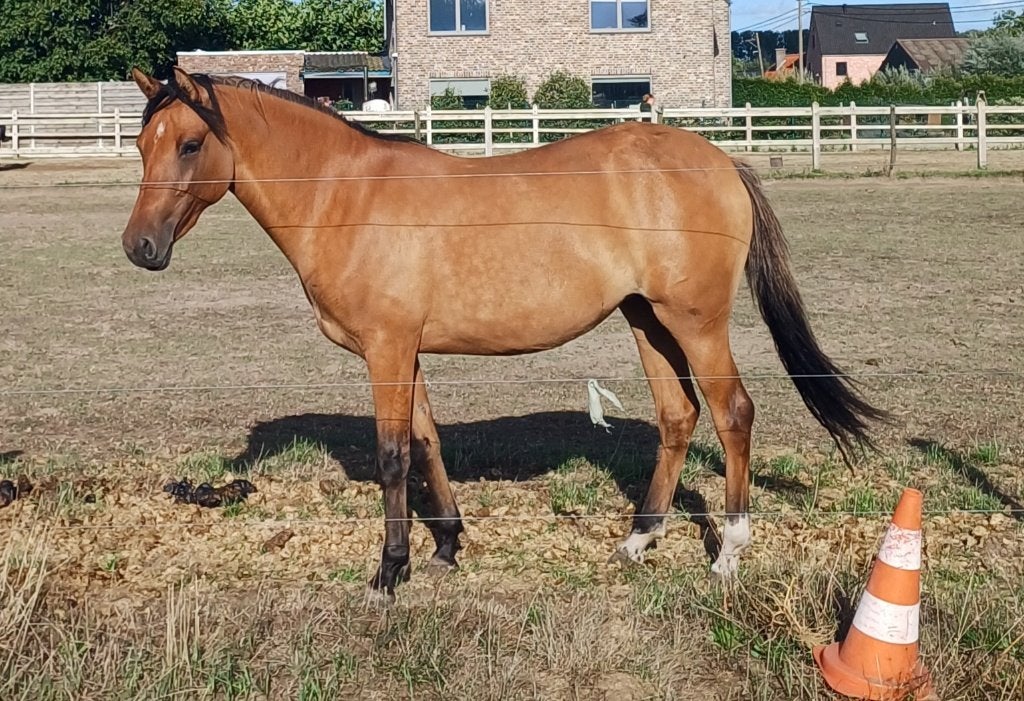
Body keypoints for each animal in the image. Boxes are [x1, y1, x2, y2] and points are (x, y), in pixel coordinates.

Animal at [121, 67, 886, 601]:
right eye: (140, 144)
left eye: (190, 144)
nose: (140, 247)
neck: (346, 196)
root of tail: (722, 160)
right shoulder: (406, 349)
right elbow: (427, 442)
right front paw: (446, 546)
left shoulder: (387, 348)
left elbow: (392, 455)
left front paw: (389, 572)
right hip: (646, 319)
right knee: (679, 416)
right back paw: (637, 541)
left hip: (695, 322)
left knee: (732, 415)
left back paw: (728, 551)